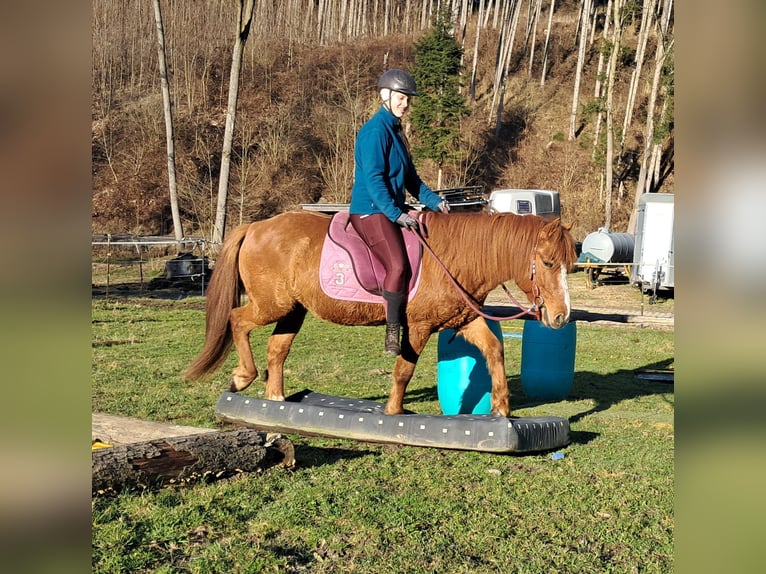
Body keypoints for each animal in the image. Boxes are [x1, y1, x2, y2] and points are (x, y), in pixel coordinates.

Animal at [183, 210, 577, 417]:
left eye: (569, 265)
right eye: (547, 262)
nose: (561, 317)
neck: (455, 257)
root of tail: (256, 226)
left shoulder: (464, 320)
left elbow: (495, 352)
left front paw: (501, 409)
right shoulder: (418, 326)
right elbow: (403, 369)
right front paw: (394, 412)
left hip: (294, 310)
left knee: (277, 350)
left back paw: (276, 399)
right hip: (272, 305)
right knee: (238, 321)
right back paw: (243, 377)